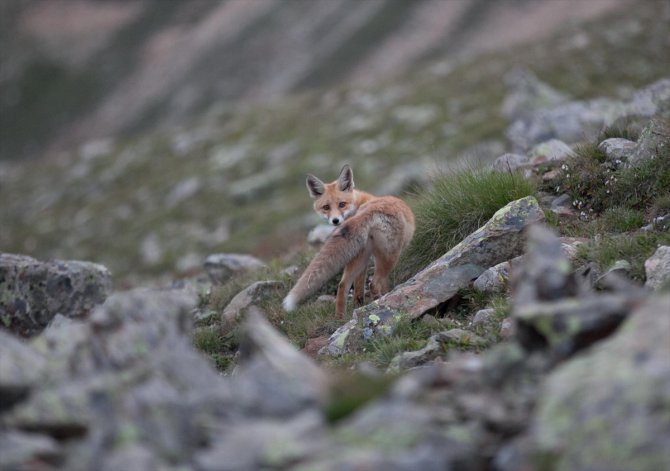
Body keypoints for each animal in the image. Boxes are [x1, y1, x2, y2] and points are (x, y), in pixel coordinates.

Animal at [282, 164, 414, 318]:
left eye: (342, 204)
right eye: (326, 207)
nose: (335, 220)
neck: (359, 203)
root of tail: (369, 211)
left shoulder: (366, 258)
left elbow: (359, 286)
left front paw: (358, 303)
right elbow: (369, 283)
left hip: (361, 255)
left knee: (342, 284)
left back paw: (340, 317)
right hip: (390, 256)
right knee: (374, 283)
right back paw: (380, 300)